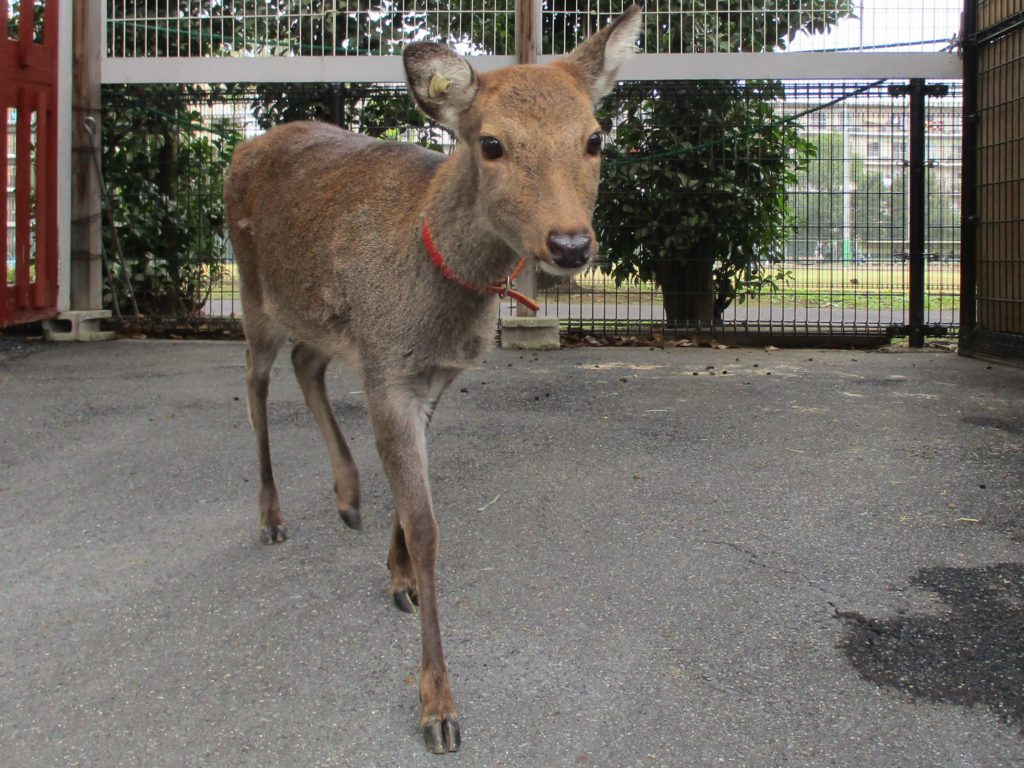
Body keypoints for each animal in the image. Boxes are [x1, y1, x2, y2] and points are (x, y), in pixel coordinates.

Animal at [222, 3, 638, 753]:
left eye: (596, 137)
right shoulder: (389, 370)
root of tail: (243, 151)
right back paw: (270, 516)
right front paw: (439, 707)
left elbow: (411, 500)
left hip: (321, 321)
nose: (569, 244)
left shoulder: (427, 374)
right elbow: (427, 526)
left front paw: (397, 576)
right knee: (254, 380)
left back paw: (347, 496)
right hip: (253, 289)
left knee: (305, 362)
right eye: (492, 143)